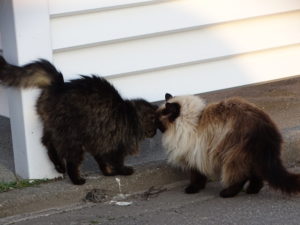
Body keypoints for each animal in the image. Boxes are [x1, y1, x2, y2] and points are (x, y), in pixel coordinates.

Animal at [0, 56, 158, 185]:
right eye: (155, 126)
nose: (155, 133)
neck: (132, 116)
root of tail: (59, 86)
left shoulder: (99, 142)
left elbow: (103, 162)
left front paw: (108, 173)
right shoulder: (117, 145)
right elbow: (116, 162)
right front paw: (123, 171)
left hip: (52, 127)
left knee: (48, 144)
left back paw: (59, 166)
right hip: (73, 139)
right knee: (71, 162)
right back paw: (77, 180)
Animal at [157, 92, 300, 197]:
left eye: (157, 121)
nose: (155, 128)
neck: (193, 121)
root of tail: (264, 127)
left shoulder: (194, 155)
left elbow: (196, 176)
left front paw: (193, 189)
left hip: (233, 155)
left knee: (240, 176)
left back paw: (228, 193)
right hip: (252, 157)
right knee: (257, 175)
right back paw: (252, 190)